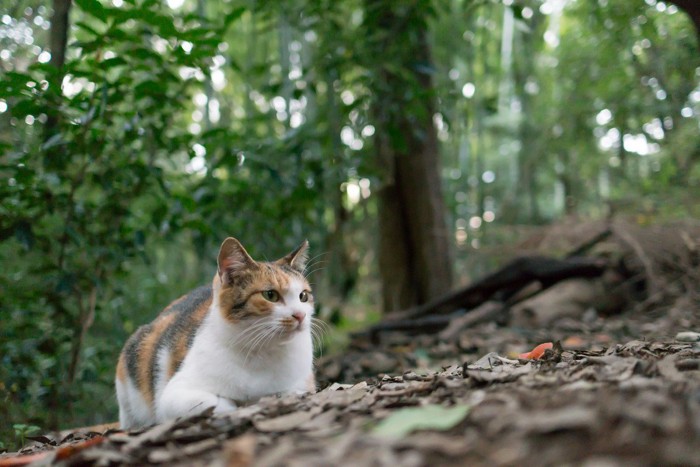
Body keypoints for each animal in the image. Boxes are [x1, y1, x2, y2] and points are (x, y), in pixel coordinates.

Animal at [114, 238, 314, 432]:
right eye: (270, 295)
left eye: (303, 296)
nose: (300, 315)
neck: (262, 351)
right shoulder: (172, 395)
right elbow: (219, 403)